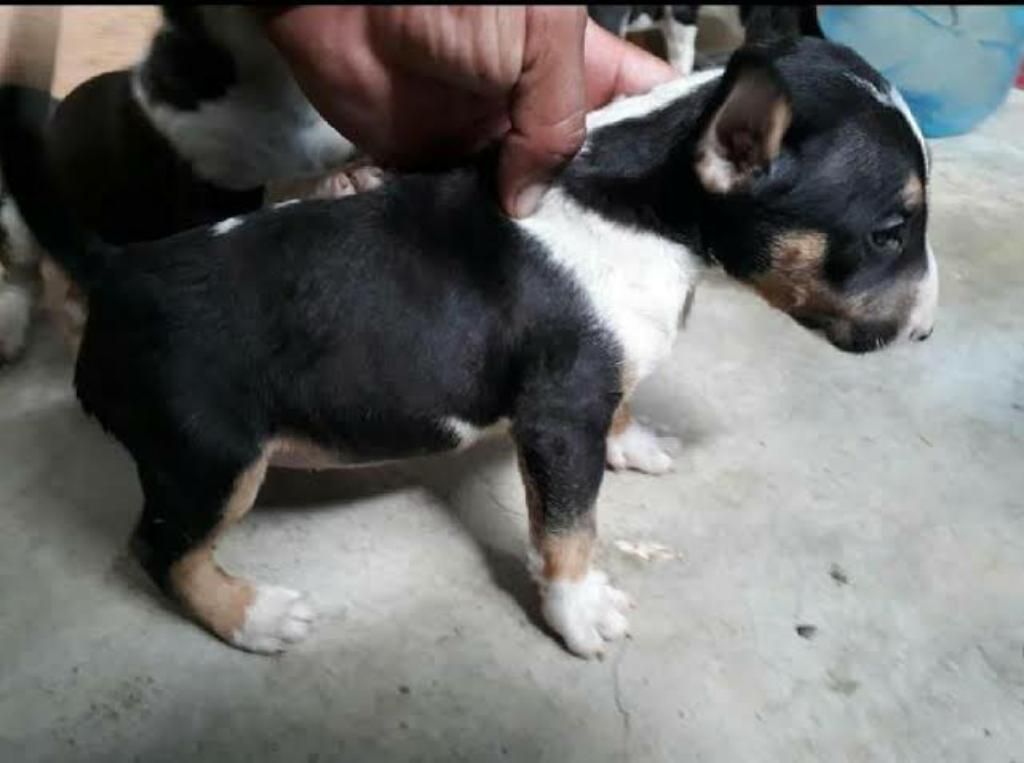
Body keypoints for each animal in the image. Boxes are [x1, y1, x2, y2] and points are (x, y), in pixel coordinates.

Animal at [0, 37, 937, 655]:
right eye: (890, 232)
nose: (926, 330)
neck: (647, 205)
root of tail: (119, 270)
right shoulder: (556, 418)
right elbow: (569, 526)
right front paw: (579, 612)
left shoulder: (589, 383)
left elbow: (619, 403)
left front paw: (634, 441)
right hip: (211, 460)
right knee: (161, 551)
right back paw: (253, 615)